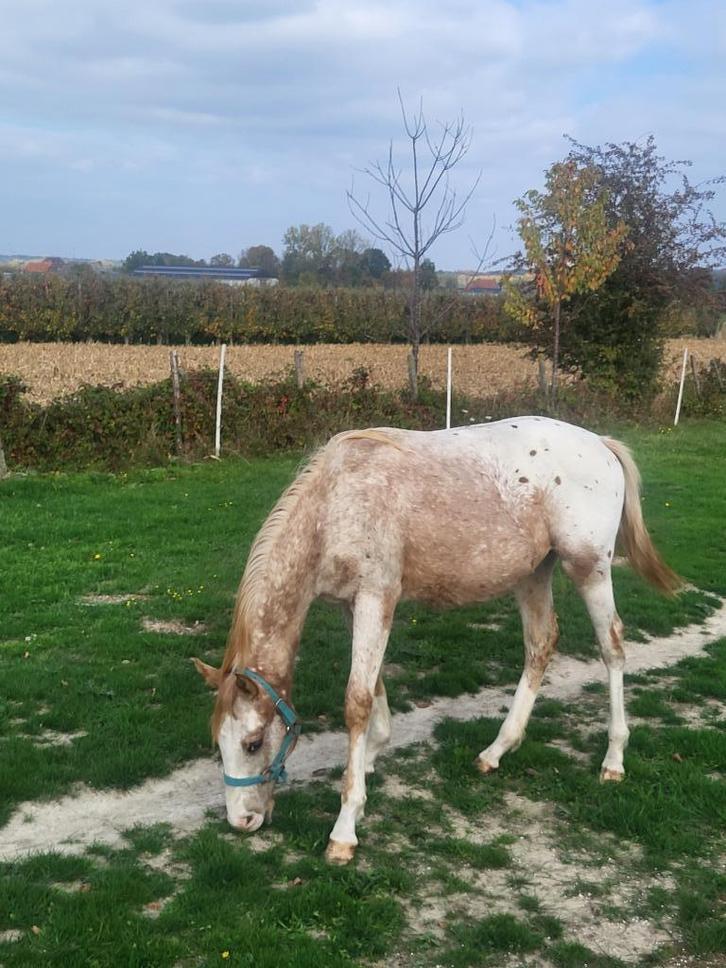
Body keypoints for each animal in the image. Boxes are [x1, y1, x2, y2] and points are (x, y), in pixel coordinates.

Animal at [193, 416, 680, 864]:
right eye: (218, 743)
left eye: (253, 743)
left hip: (589, 568)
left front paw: (345, 825)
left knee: (612, 648)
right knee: (540, 645)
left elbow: (356, 701)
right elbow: (372, 687)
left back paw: (613, 759)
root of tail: (600, 443)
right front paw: (369, 759)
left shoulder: (376, 598)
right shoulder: (356, 606)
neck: (333, 507)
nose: (242, 821)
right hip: (533, 574)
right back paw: (496, 750)